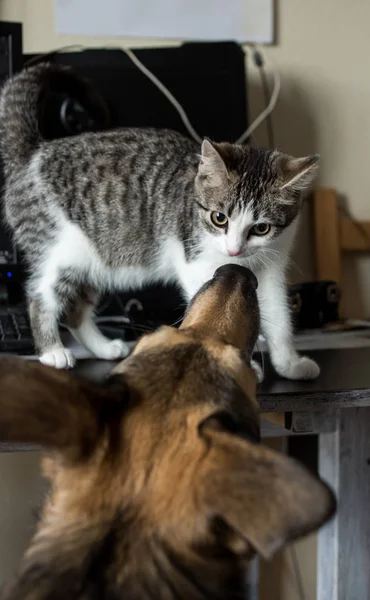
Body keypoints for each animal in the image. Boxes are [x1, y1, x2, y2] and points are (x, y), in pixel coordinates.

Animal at [0, 62, 318, 380]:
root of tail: (35, 153)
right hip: (57, 250)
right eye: (219, 218)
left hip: (94, 256)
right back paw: (52, 351)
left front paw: (290, 363)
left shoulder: (273, 264)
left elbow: (278, 315)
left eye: (261, 227)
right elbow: (218, 310)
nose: (234, 250)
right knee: (41, 295)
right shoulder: (196, 264)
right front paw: (241, 362)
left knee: (76, 308)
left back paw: (103, 347)